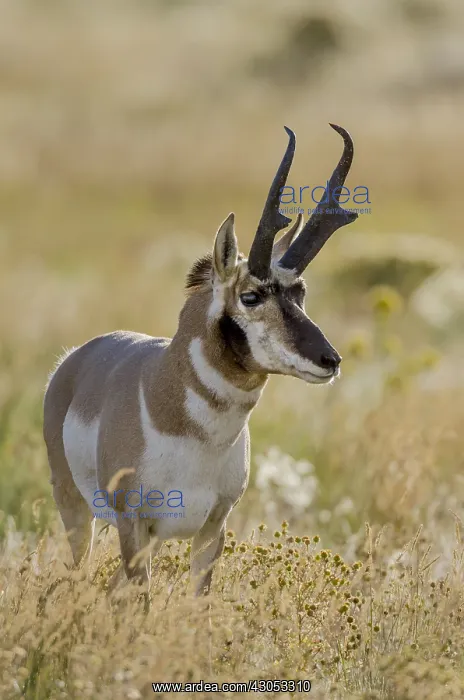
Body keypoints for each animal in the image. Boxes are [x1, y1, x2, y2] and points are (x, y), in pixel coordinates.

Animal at [43, 124, 357, 595]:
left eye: (300, 291)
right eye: (251, 296)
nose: (330, 359)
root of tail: (74, 360)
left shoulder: (212, 529)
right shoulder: (134, 526)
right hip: (78, 513)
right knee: (71, 575)